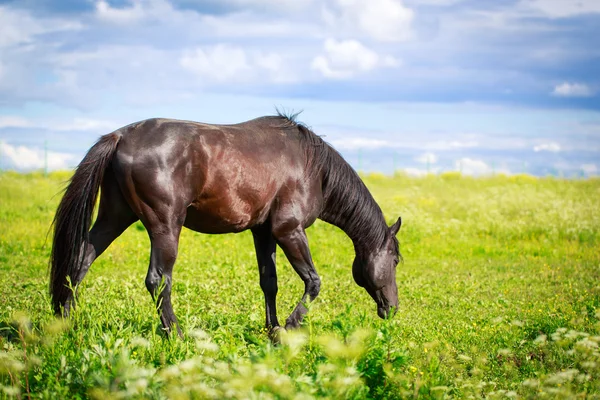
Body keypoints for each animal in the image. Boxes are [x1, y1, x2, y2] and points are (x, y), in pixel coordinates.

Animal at [49, 113, 400, 338]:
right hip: (165, 226)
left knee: (80, 261)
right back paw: (176, 334)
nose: (393, 309)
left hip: (115, 217)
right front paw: (289, 327)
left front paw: (271, 329)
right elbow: (313, 282)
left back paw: (65, 324)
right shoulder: (289, 230)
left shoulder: (263, 232)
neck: (312, 168)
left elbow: (269, 282)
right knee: (158, 280)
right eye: (396, 260)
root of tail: (121, 136)